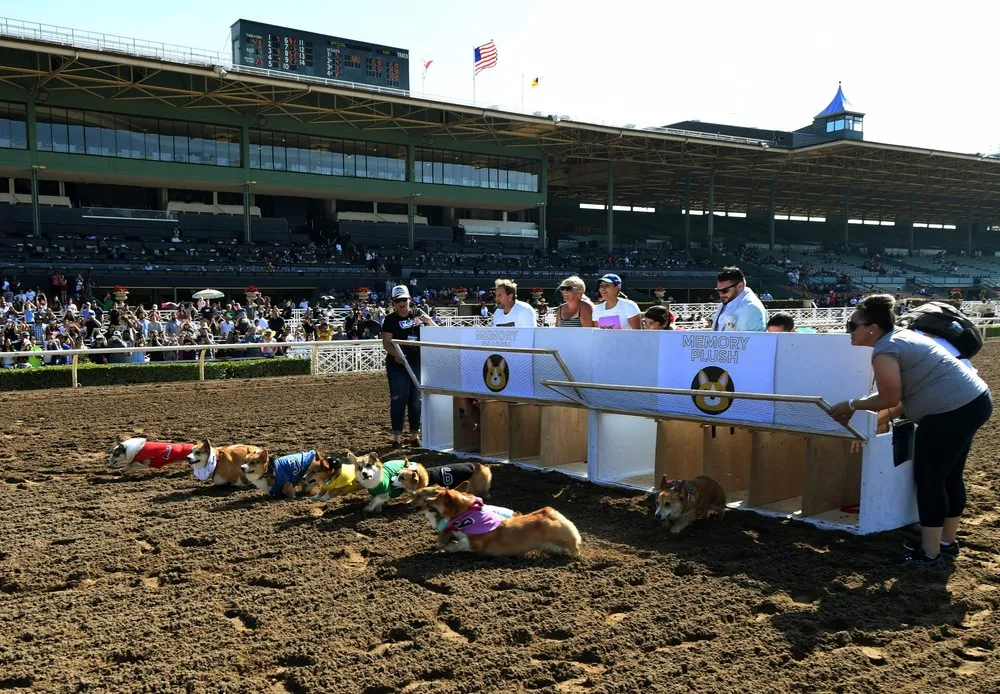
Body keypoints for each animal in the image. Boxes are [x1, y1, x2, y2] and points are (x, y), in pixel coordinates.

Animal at [420, 490, 580, 560]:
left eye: (437, 499)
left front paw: (447, 547)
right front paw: (440, 544)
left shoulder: (475, 542)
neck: (467, 514)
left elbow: (460, 544)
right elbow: (448, 534)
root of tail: (553, 513)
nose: (426, 499)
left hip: (559, 536)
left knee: (574, 546)